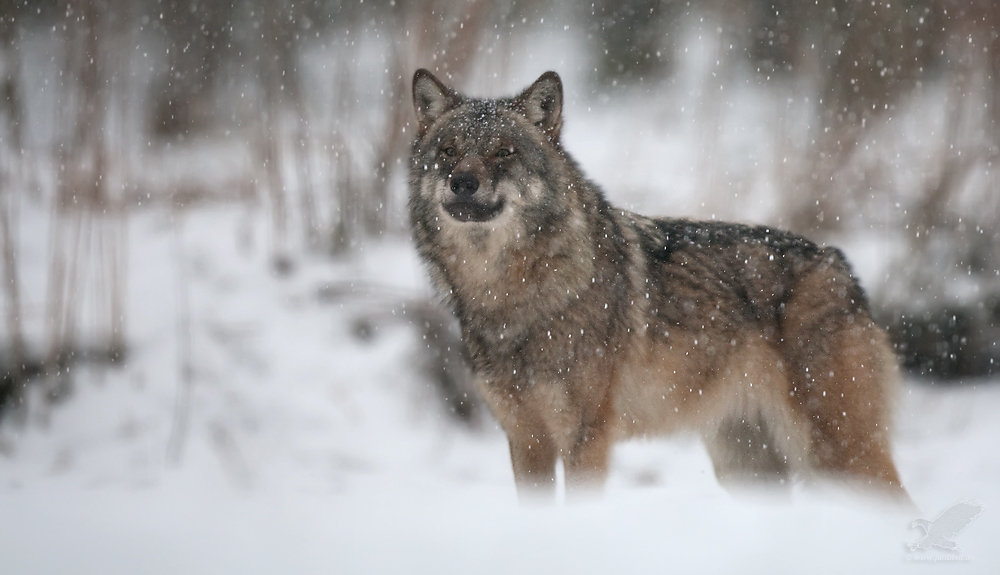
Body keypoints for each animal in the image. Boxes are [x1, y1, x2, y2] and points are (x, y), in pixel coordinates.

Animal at [406, 68, 908, 504]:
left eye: (503, 152)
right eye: (448, 151)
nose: (462, 182)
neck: (505, 294)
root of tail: (839, 262)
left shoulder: (586, 436)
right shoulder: (526, 439)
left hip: (840, 456)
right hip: (748, 468)